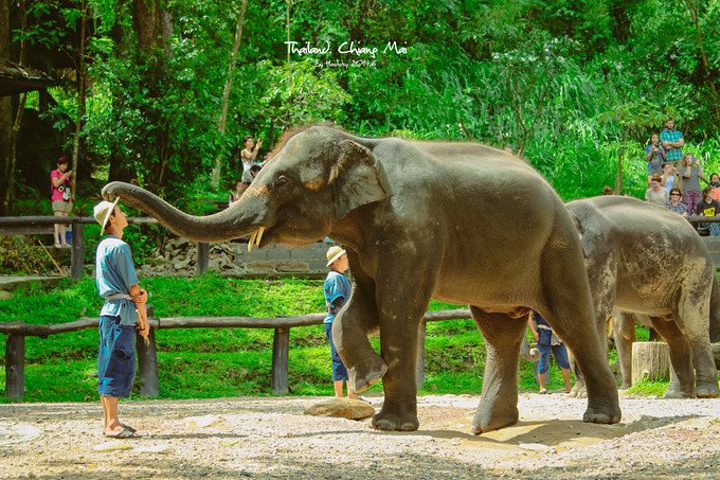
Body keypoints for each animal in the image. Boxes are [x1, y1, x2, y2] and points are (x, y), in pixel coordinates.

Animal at [104, 124, 620, 432]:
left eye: (281, 181)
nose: (110, 192)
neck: (360, 142)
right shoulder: (363, 243)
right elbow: (357, 309)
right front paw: (368, 379)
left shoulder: (415, 226)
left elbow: (397, 309)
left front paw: (387, 422)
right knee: (499, 330)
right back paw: (489, 427)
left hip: (557, 244)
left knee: (571, 319)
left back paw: (600, 419)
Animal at [568, 197, 720, 400]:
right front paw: (578, 394)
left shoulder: (599, 252)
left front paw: (583, 394)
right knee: (672, 333)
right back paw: (675, 395)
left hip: (696, 272)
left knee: (691, 323)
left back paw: (705, 393)